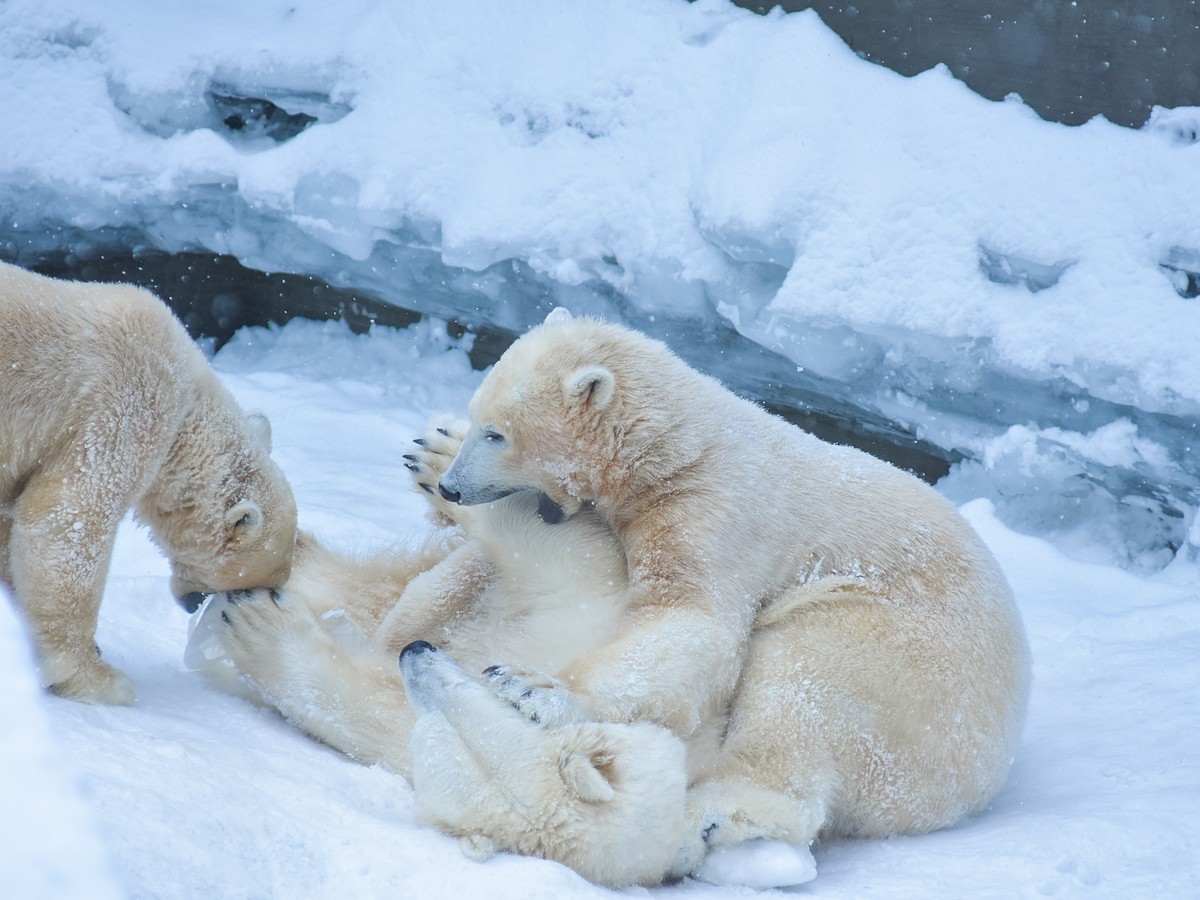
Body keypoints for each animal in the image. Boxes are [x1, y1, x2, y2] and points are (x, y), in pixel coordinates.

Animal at [208, 309, 1032, 888]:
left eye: (499, 432)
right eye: (478, 419)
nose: (456, 485)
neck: (682, 448)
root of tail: (987, 772)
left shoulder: (712, 512)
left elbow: (688, 620)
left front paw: (534, 688)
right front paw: (430, 454)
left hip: (904, 662)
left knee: (807, 686)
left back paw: (711, 819)